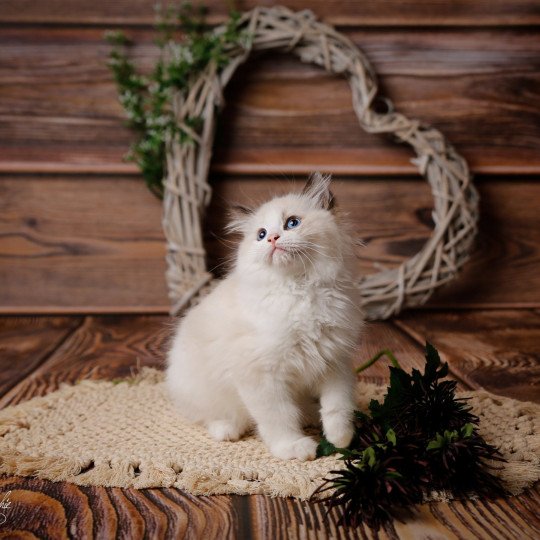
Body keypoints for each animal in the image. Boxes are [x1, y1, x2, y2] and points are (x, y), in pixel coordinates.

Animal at [167, 173, 364, 460]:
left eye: (292, 223)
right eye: (260, 234)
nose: (272, 238)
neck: (301, 291)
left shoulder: (334, 362)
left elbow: (337, 406)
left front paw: (340, 440)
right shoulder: (260, 374)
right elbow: (279, 417)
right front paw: (294, 448)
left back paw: (309, 416)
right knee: (210, 416)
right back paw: (227, 429)